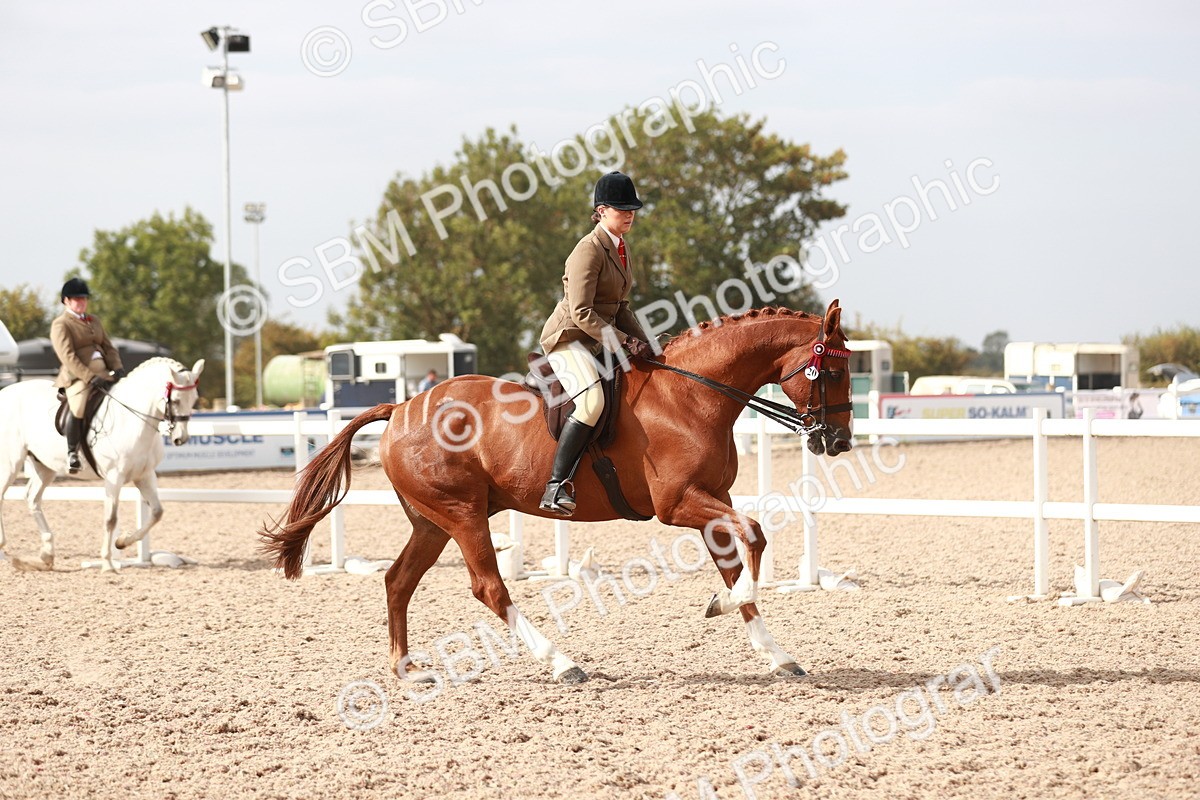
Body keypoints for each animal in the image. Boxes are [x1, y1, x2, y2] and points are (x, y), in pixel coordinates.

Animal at [0, 357, 204, 572]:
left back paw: (47, 554)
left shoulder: (145, 475)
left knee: (32, 498)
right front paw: (108, 563)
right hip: (10, 462)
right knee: (2, 495)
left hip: (45, 466)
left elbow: (157, 512)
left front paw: (122, 542)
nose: (180, 438)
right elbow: (110, 519)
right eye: (176, 400)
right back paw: (4, 545)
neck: (131, 421)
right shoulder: (114, 476)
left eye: (194, 399)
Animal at [260, 301, 853, 685]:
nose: (839, 441)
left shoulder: (712, 501)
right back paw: (563, 663)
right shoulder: (679, 504)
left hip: (432, 521)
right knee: (489, 589)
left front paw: (774, 652)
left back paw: (405, 668)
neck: (691, 395)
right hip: (463, 515)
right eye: (831, 372)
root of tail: (401, 405)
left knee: (398, 581)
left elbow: (738, 558)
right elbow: (754, 537)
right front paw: (724, 605)